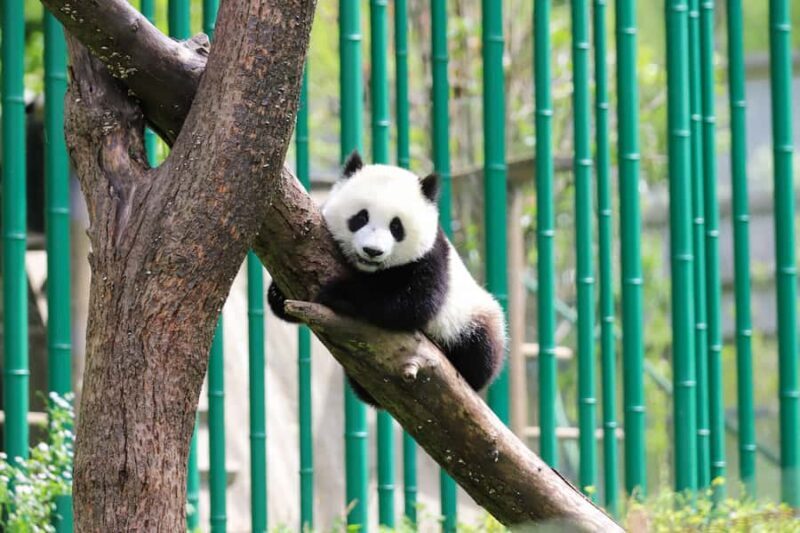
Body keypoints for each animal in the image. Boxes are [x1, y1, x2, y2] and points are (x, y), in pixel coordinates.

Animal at [268, 151, 506, 408]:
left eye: (396, 226)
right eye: (361, 217)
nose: (372, 251)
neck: (371, 272)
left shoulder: (432, 257)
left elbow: (414, 303)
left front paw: (338, 293)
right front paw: (278, 294)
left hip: (473, 316)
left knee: (481, 349)